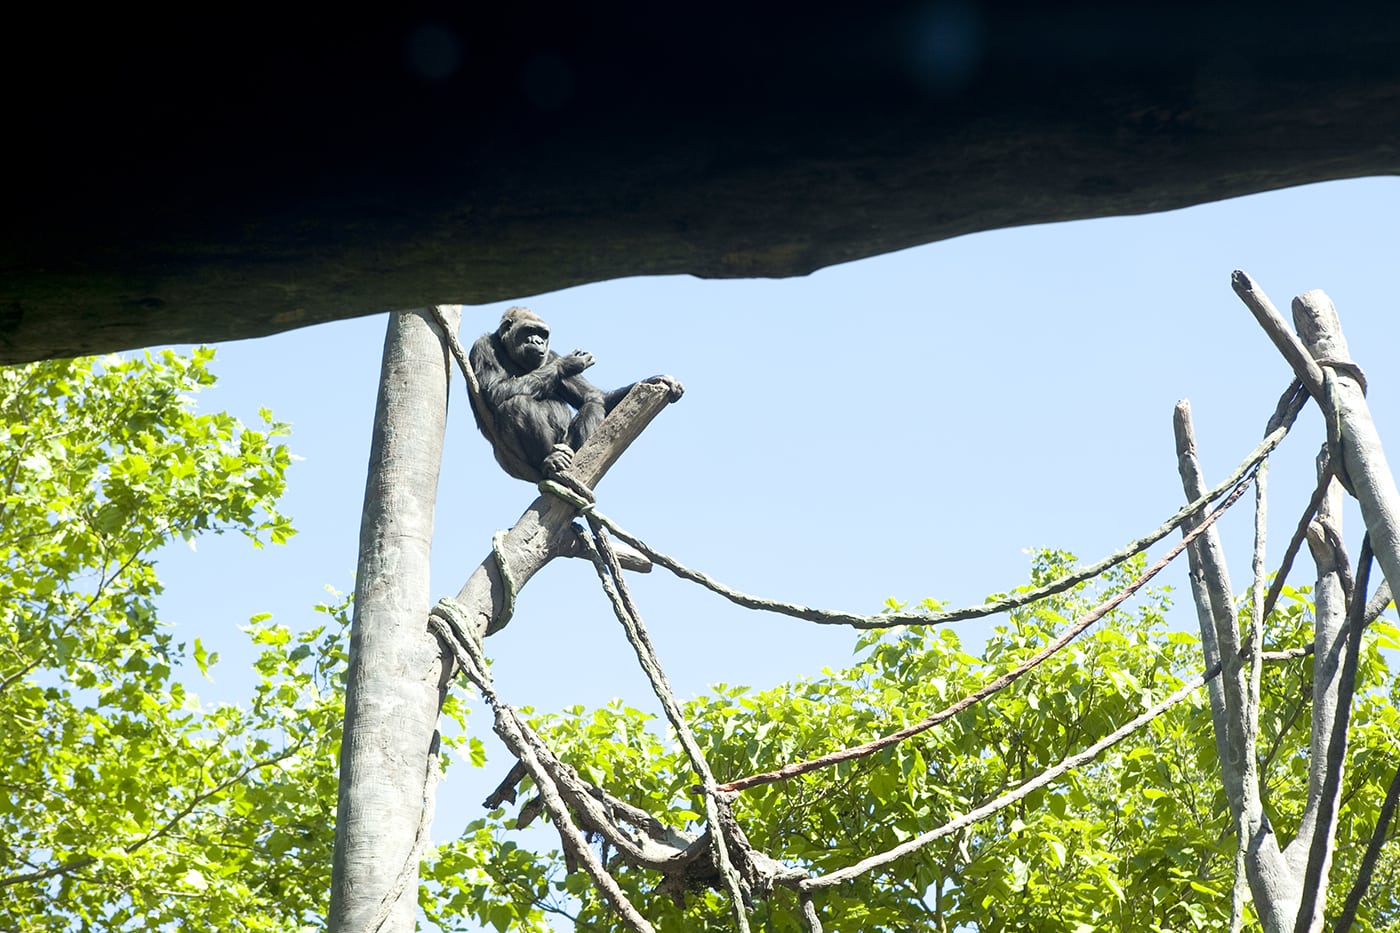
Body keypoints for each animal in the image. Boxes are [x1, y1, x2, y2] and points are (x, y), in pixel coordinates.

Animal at [470, 305, 683, 479]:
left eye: (543, 334)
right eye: (529, 330)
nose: (538, 341)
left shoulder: (550, 355)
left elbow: (596, 397)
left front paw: (657, 379)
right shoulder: (483, 346)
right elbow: (496, 390)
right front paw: (567, 363)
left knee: (593, 406)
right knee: (517, 403)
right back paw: (549, 461)